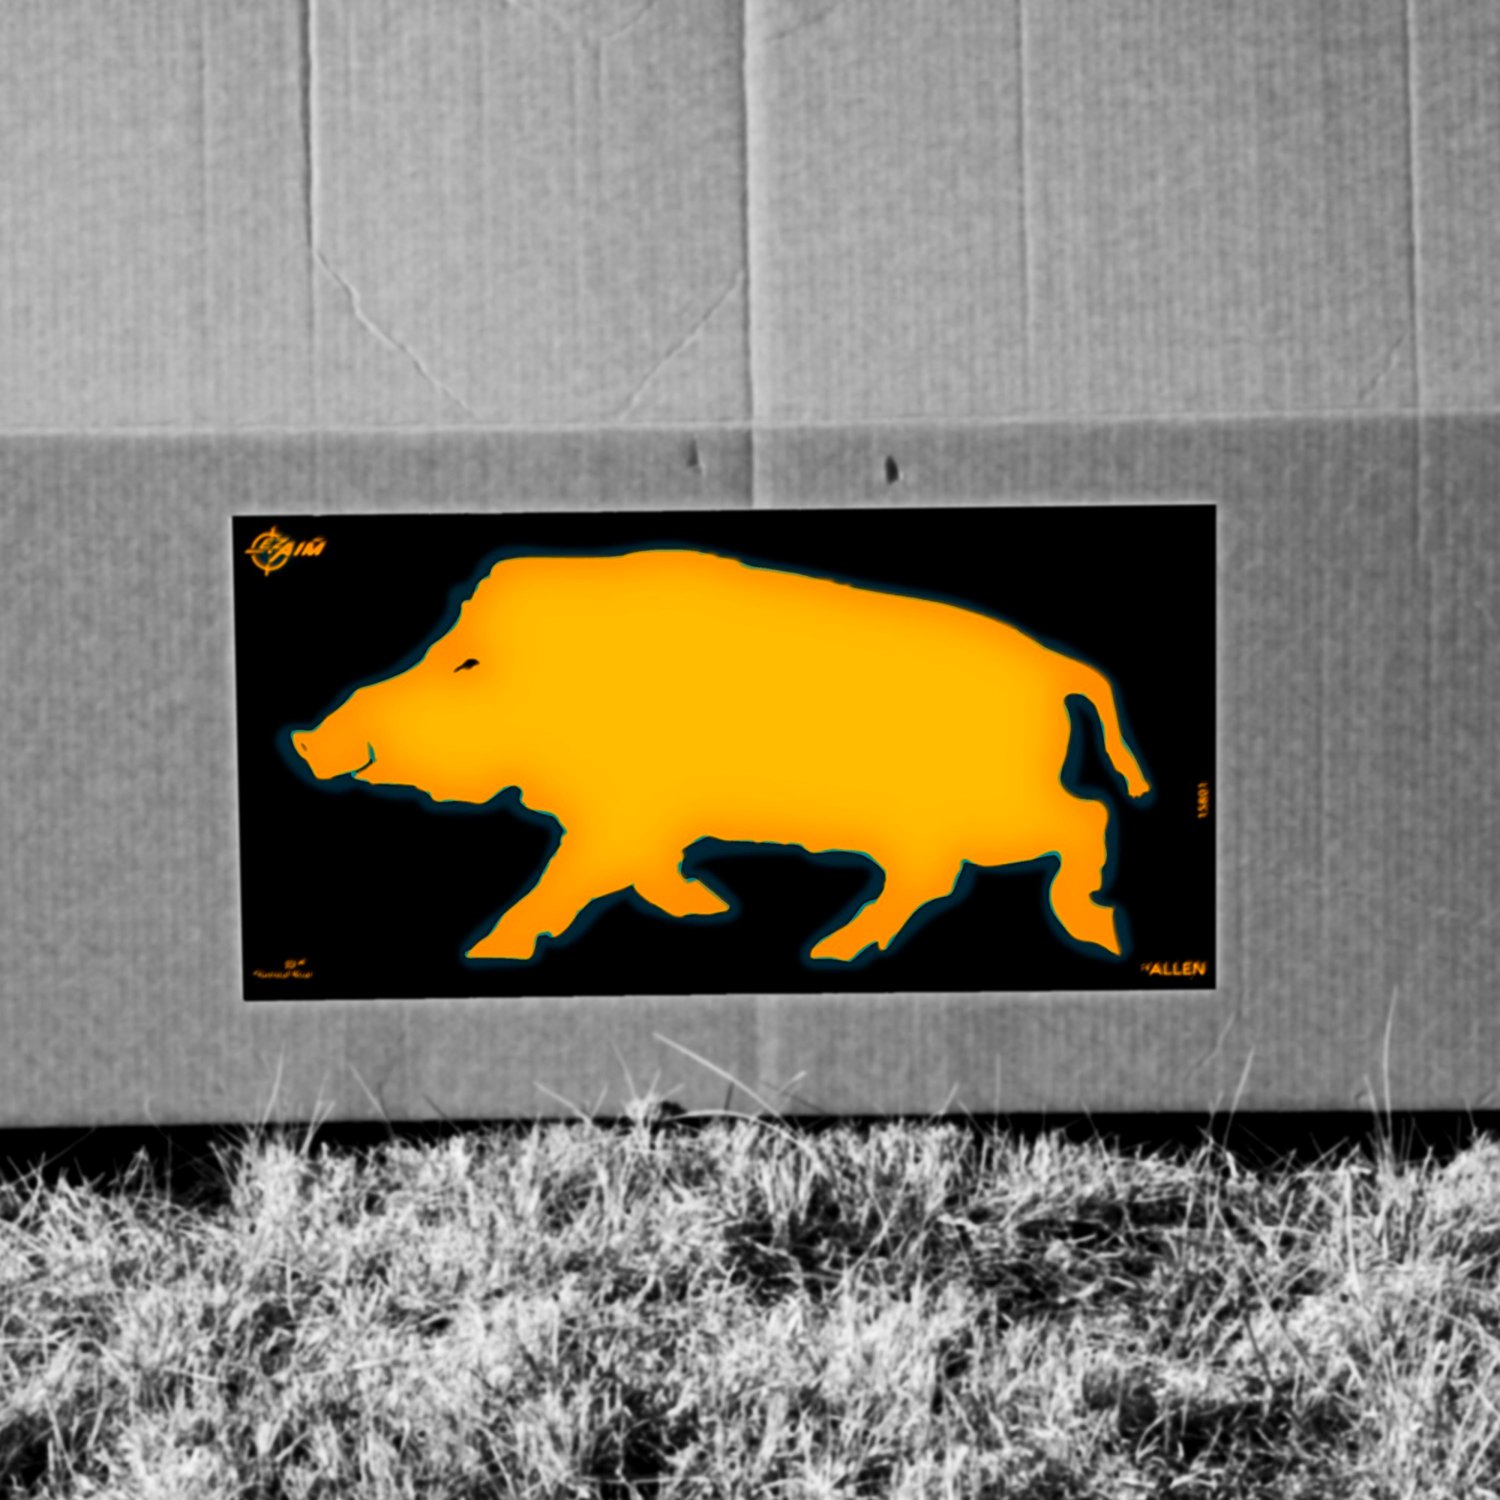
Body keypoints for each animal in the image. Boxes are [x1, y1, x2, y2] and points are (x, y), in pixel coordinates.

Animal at [291, 548, 1151, 963]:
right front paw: (713, 910)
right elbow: (641, 871)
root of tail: (1062, 668)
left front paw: (488, 952)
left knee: (1087, 817)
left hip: (996, 804)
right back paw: (833, 950)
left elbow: (562, 880)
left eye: (466, 665)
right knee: (937, 875)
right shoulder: (639, 822)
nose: (306, 739)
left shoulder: (617, 813)